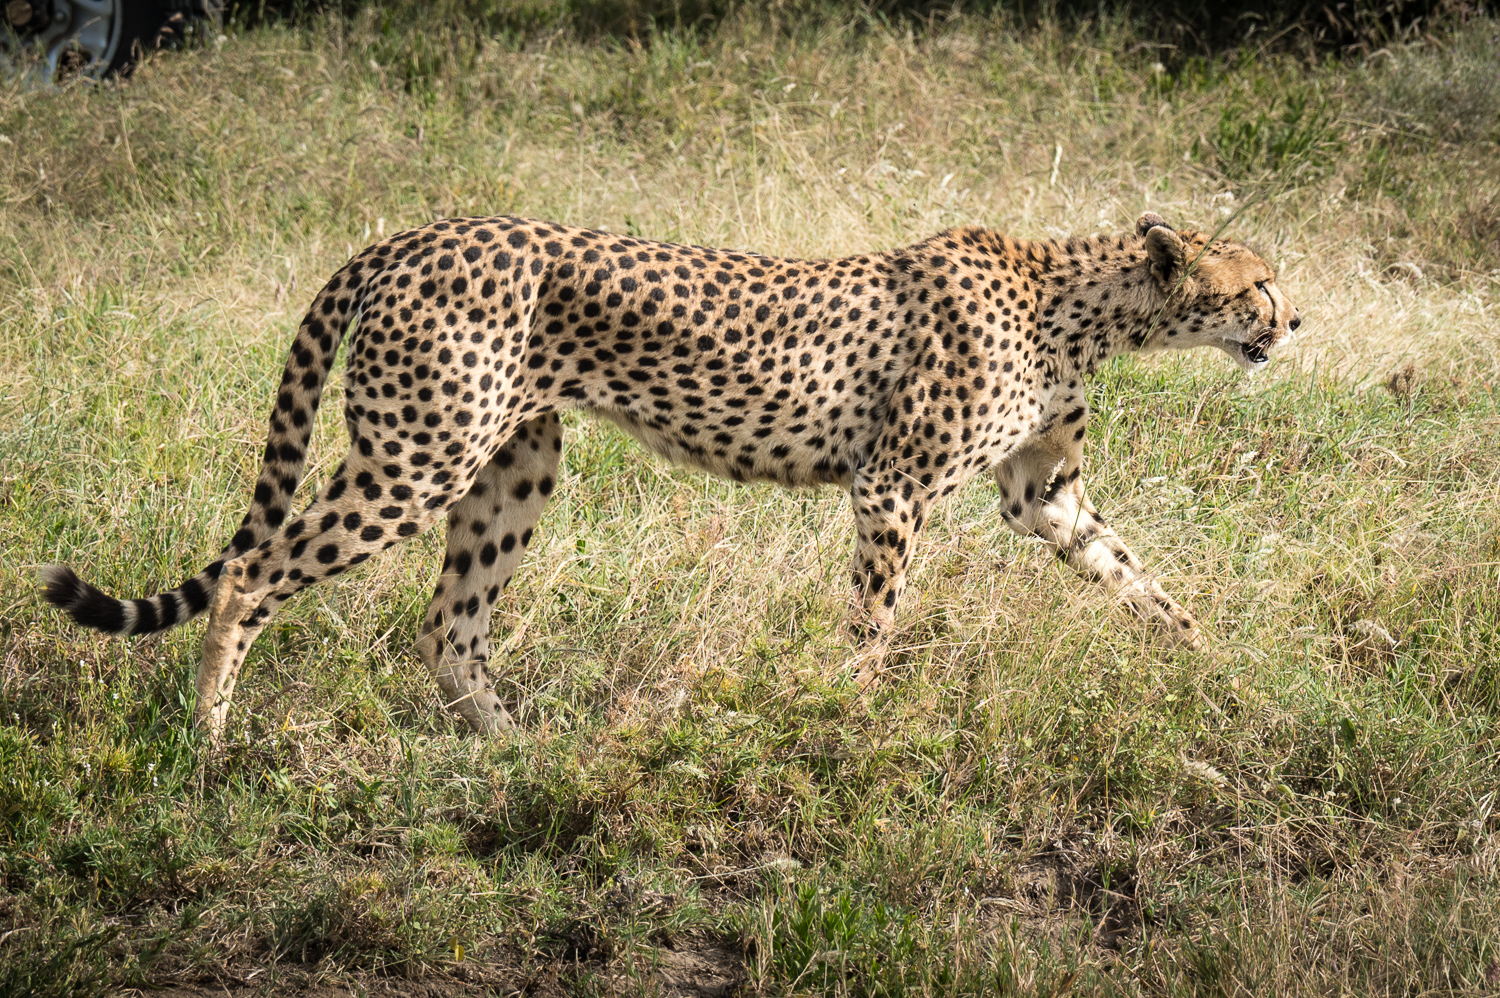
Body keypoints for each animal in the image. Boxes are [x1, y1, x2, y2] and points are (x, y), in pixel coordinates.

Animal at [41, 211, 1296, 738]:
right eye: (1255, 284)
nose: (1293, 321)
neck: (1083, 302)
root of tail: (416, 232)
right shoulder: (890, 487)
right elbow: (875, 623)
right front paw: (843, 718)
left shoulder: (1047, 495)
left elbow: (1144, 581)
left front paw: (1226, 672)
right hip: (419, 454)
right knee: (252, 574)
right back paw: (209, 740)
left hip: (515, 464)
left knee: (449, 624)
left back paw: (517, 749)